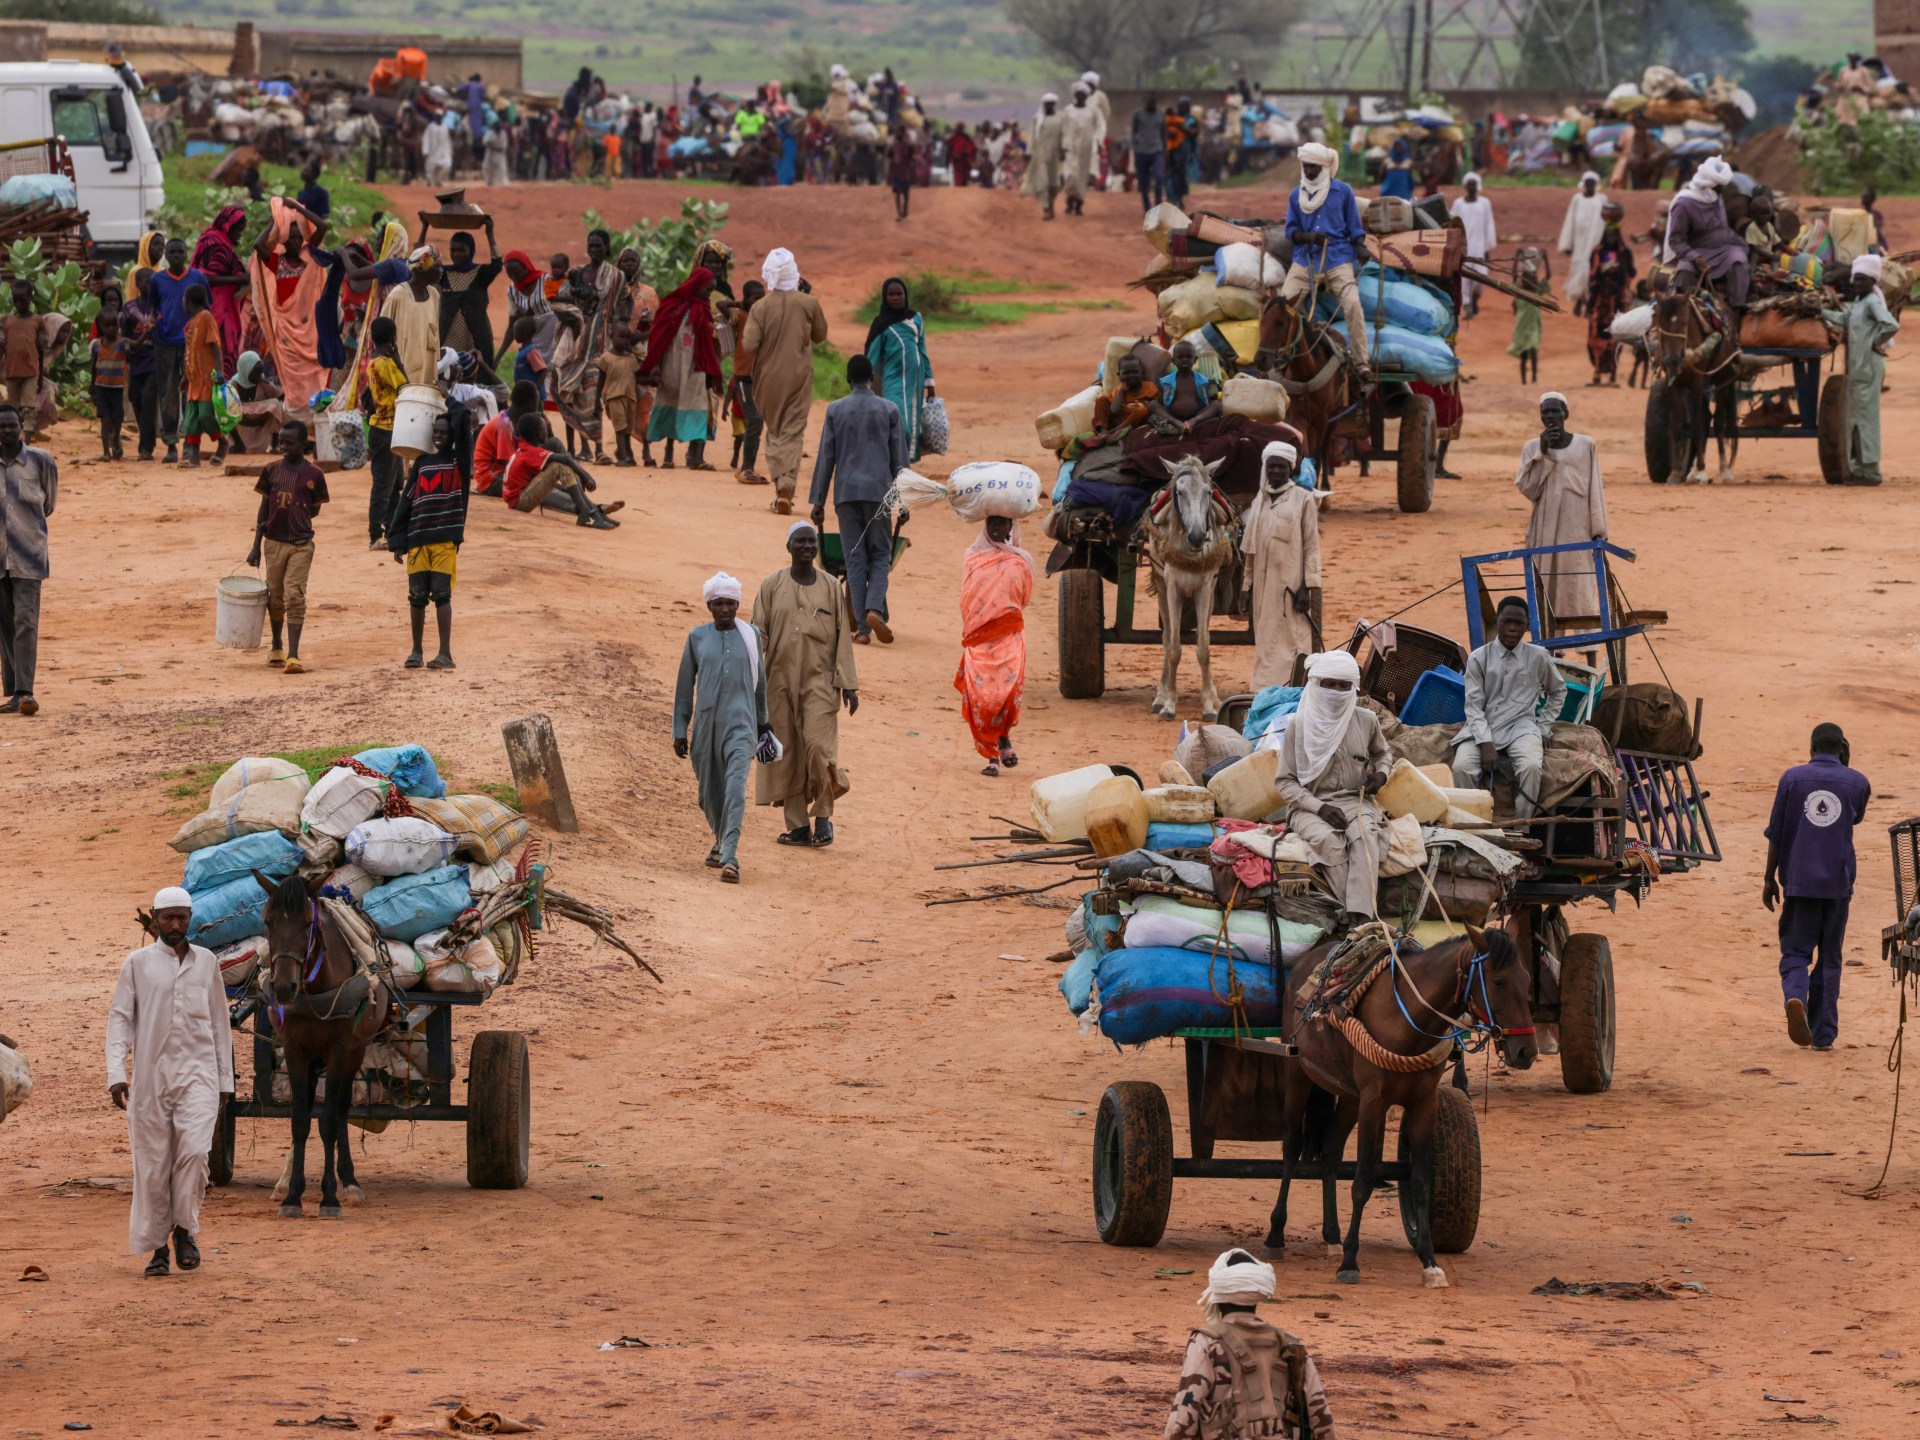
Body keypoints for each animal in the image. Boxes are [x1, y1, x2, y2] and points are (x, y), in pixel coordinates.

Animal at [253, 875, 391, 1221]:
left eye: (307, 924)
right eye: (267, 921)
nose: (283, 987)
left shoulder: (338, 1049)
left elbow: (328, 1121)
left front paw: (329, 1197)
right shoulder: (294, 1048)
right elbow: (300, 1121)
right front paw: (293, 1196)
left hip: (356, 1050)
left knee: (340, 1109)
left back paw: (350, 1182)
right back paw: (286, 1182)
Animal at [1144, 456, 1236, 721]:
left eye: (1208, 491)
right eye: (1179, 491)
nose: (1196, 536)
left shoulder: (1204, 589)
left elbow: (1204, 647)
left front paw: (1209, 706)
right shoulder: (1173, 587)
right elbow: (1173, 648)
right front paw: (1168, 704)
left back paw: (1214, 697)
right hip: (1161, 587)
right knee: (1166, 638)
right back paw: (1160, 696)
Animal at [1274, 929, 1528, 1290]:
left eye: (1528, 978)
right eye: (1499, 981)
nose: (1526, 1051)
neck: (1406, 1018)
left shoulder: (1423, 1103)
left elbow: (1419, 1180)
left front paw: (1429, 1261)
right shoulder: (1374, 1102)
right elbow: (1363, 1181)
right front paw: (1351, 1262)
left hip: (1349, 1096)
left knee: (1330, 1153)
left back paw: (1332, 1237)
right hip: (1298, 1072)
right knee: (1292, 1148)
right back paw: (1276, 1234)